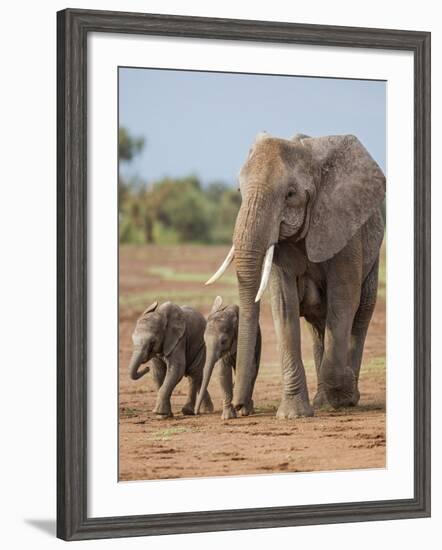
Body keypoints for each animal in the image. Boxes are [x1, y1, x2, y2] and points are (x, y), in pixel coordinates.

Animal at [206, 133, 384, 418]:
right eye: (239, 192)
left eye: (290, 194)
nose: (240, 406)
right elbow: (284, 305)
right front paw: (293, 415)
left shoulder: (345, 231)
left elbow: (344, 300)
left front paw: (344, 391)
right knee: (318, 325)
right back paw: (324, 401)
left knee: (360, 315)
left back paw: (344, 396)